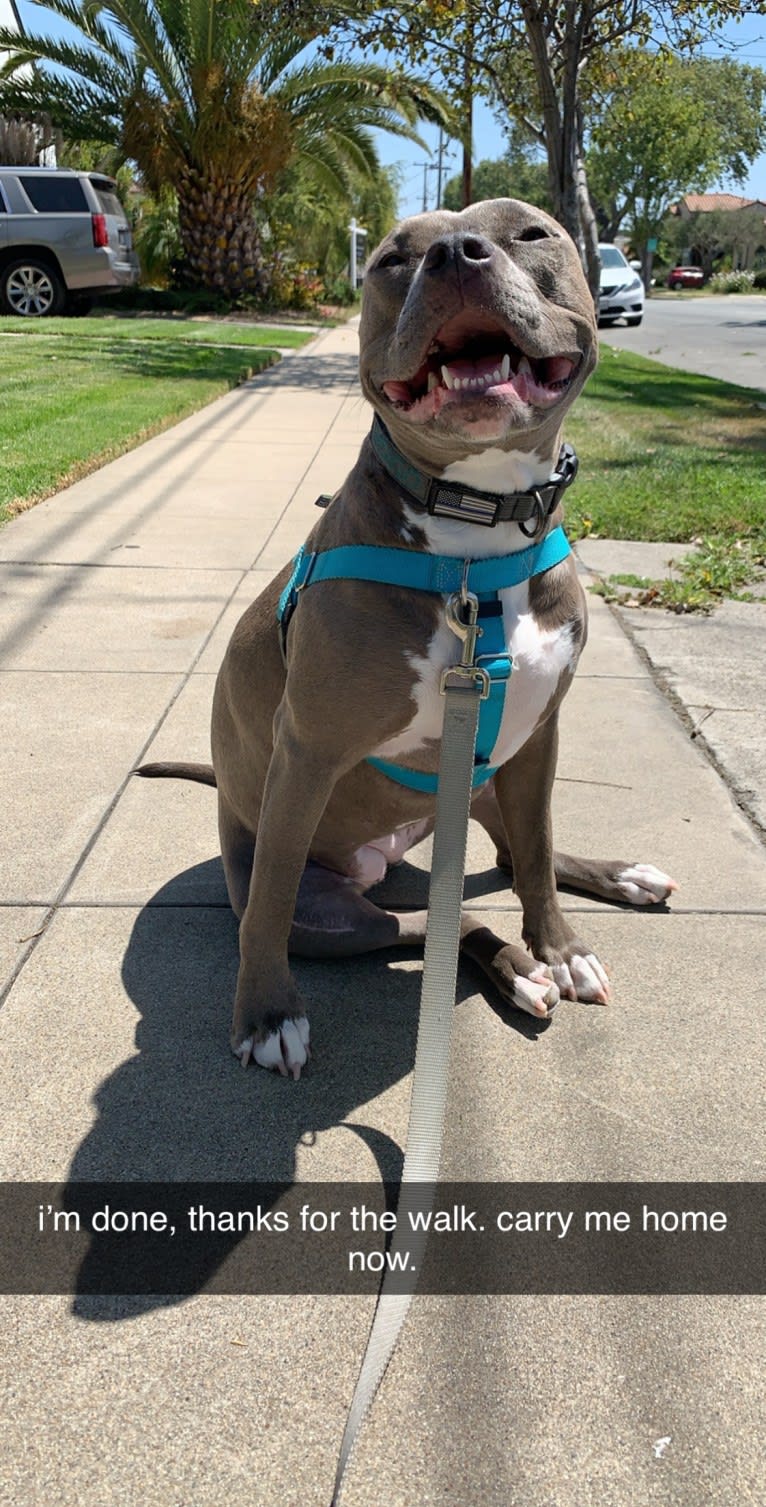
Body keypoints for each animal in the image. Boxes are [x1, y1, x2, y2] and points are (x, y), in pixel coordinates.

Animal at [139, 200, 675, 1079]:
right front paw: (265, 1012)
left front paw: (561, 947)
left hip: (488, 781)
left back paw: (609, 888)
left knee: (516, 860)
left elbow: (537, 855)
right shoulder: (308, 753)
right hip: (334, 910)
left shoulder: (538, 737)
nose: (456, 251)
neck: (473, 542)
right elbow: (271, 908)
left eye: (531, 232)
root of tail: (382, 859)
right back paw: (514, 965)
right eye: (392, 258)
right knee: (430, 921)